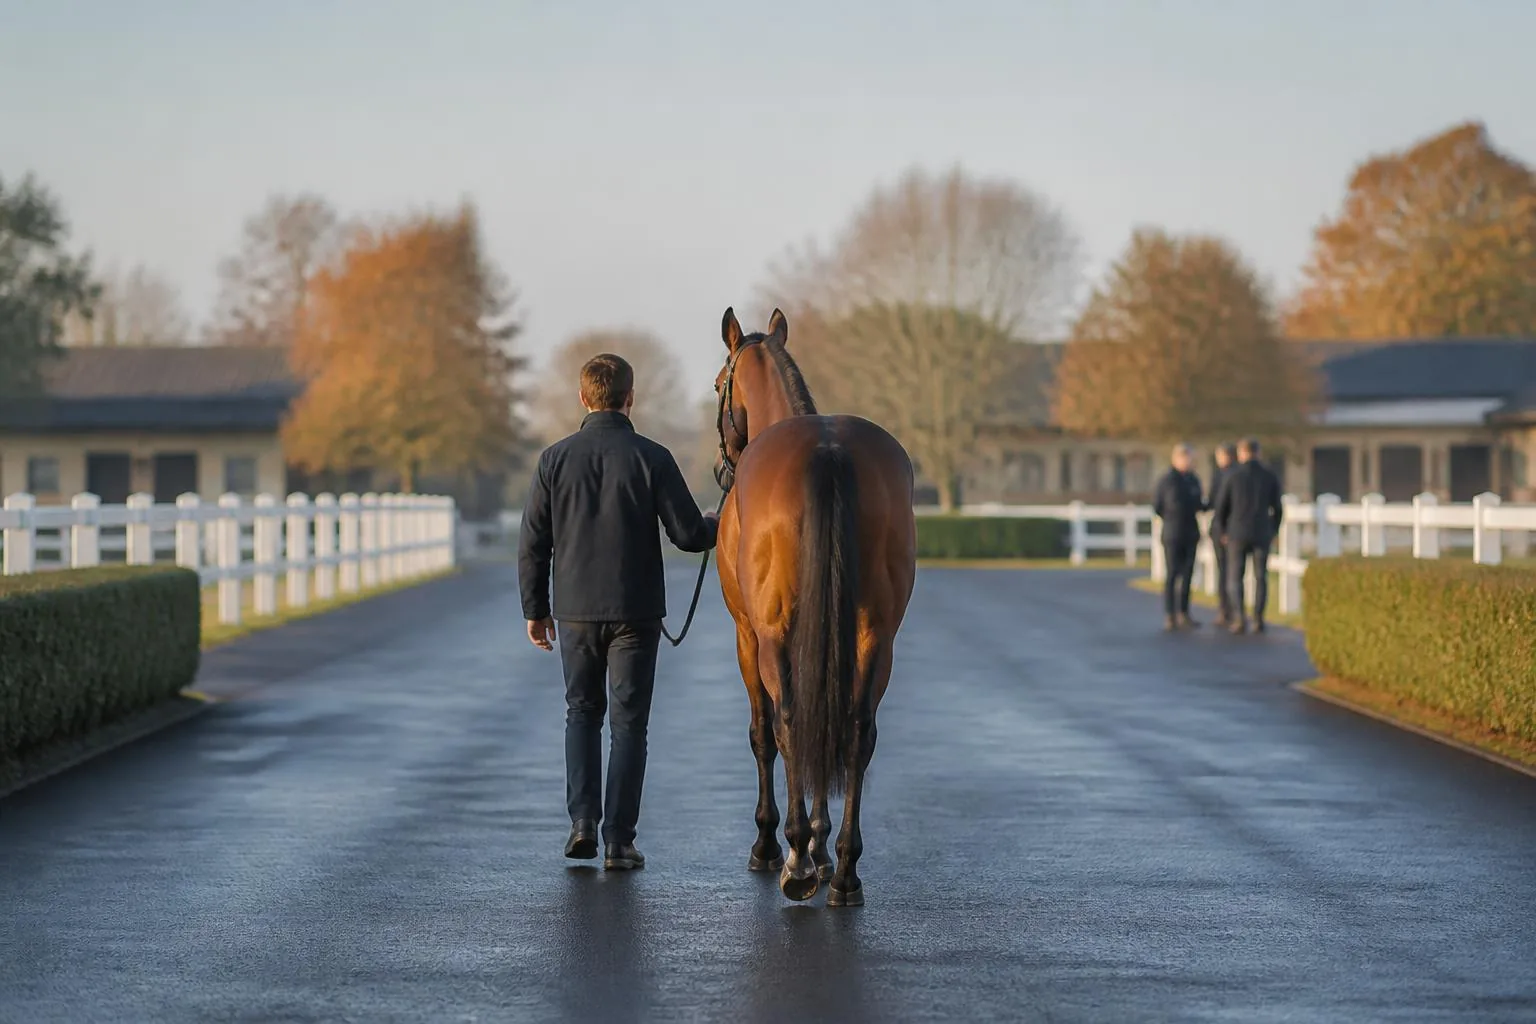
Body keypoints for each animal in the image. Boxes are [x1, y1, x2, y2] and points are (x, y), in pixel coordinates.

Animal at [711, 306, 917, 907]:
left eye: (718, 382)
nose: (721, 469)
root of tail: (828, 451)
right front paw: (823, 849)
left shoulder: (748, 635)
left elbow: (764, 732)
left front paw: (775, 845)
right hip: (876, 634)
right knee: (855, 727)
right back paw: (843, 869)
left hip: (774, 633)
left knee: (787, 723)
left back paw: (796, 861)